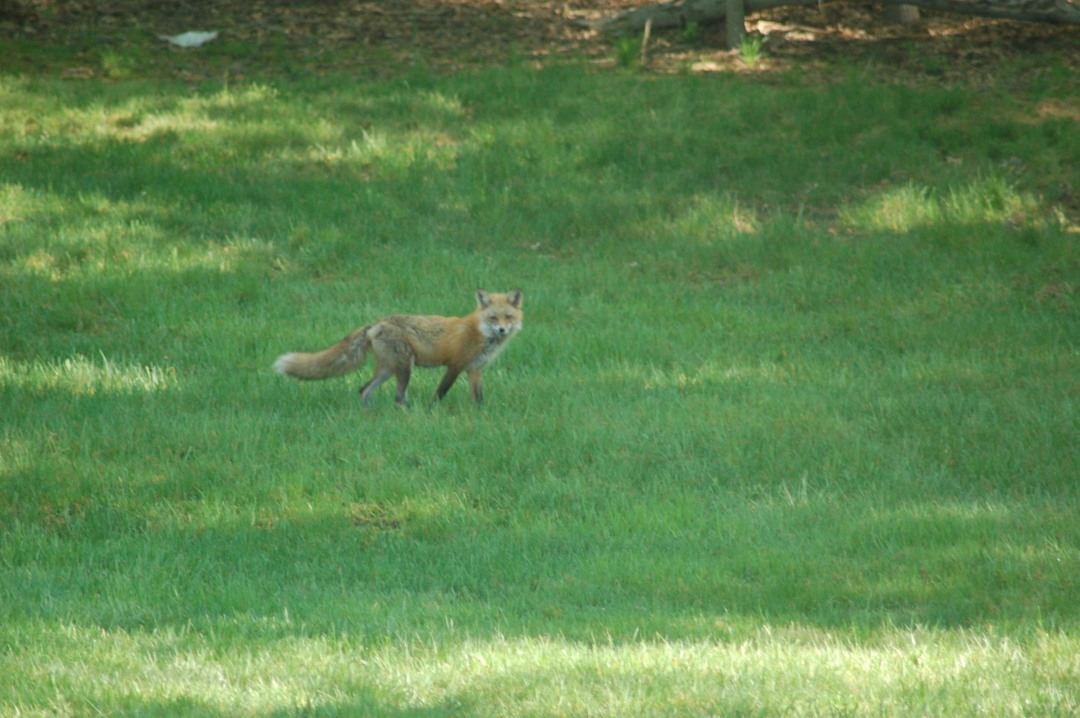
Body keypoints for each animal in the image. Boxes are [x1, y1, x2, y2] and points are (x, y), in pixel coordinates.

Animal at [273, 289, 523, 407]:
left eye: (508, 317)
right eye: (493, 318)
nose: (502, 330)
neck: (481, 334)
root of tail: (376, 323)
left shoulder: (475, 369)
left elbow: (478, 398)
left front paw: (481, 414)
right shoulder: (455, 365)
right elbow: (440, 393)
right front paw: (431, 411)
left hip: (388, 369)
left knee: (364, 390)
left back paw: (369, 415)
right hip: (405, 367)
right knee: (399, 397)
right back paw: (411, 415)